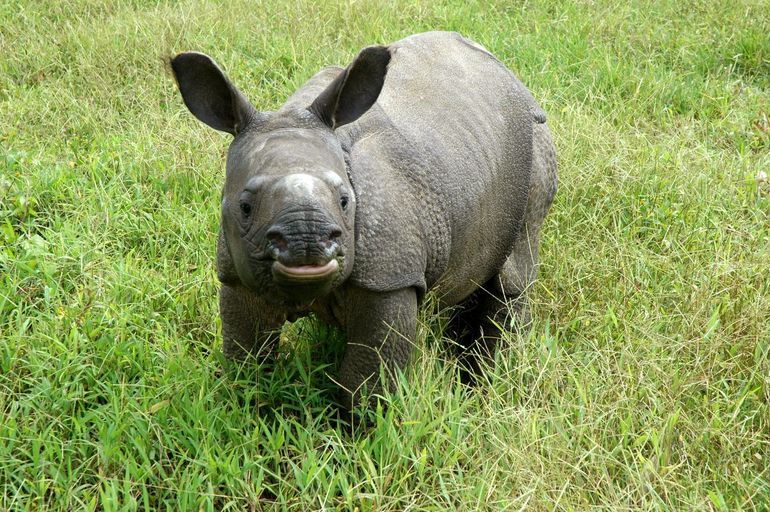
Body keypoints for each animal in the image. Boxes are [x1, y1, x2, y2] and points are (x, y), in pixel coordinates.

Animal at [170, 31, 552, 408]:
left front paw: (355, 424)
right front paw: (249, 404)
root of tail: (513, 79)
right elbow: (247, 360)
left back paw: (487, 381)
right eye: (245, 206)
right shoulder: (236, 272)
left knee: (513, 275)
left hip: (536, 146)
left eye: (345, 201)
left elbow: (365, 383)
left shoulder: (389, 276)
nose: (307, 240)